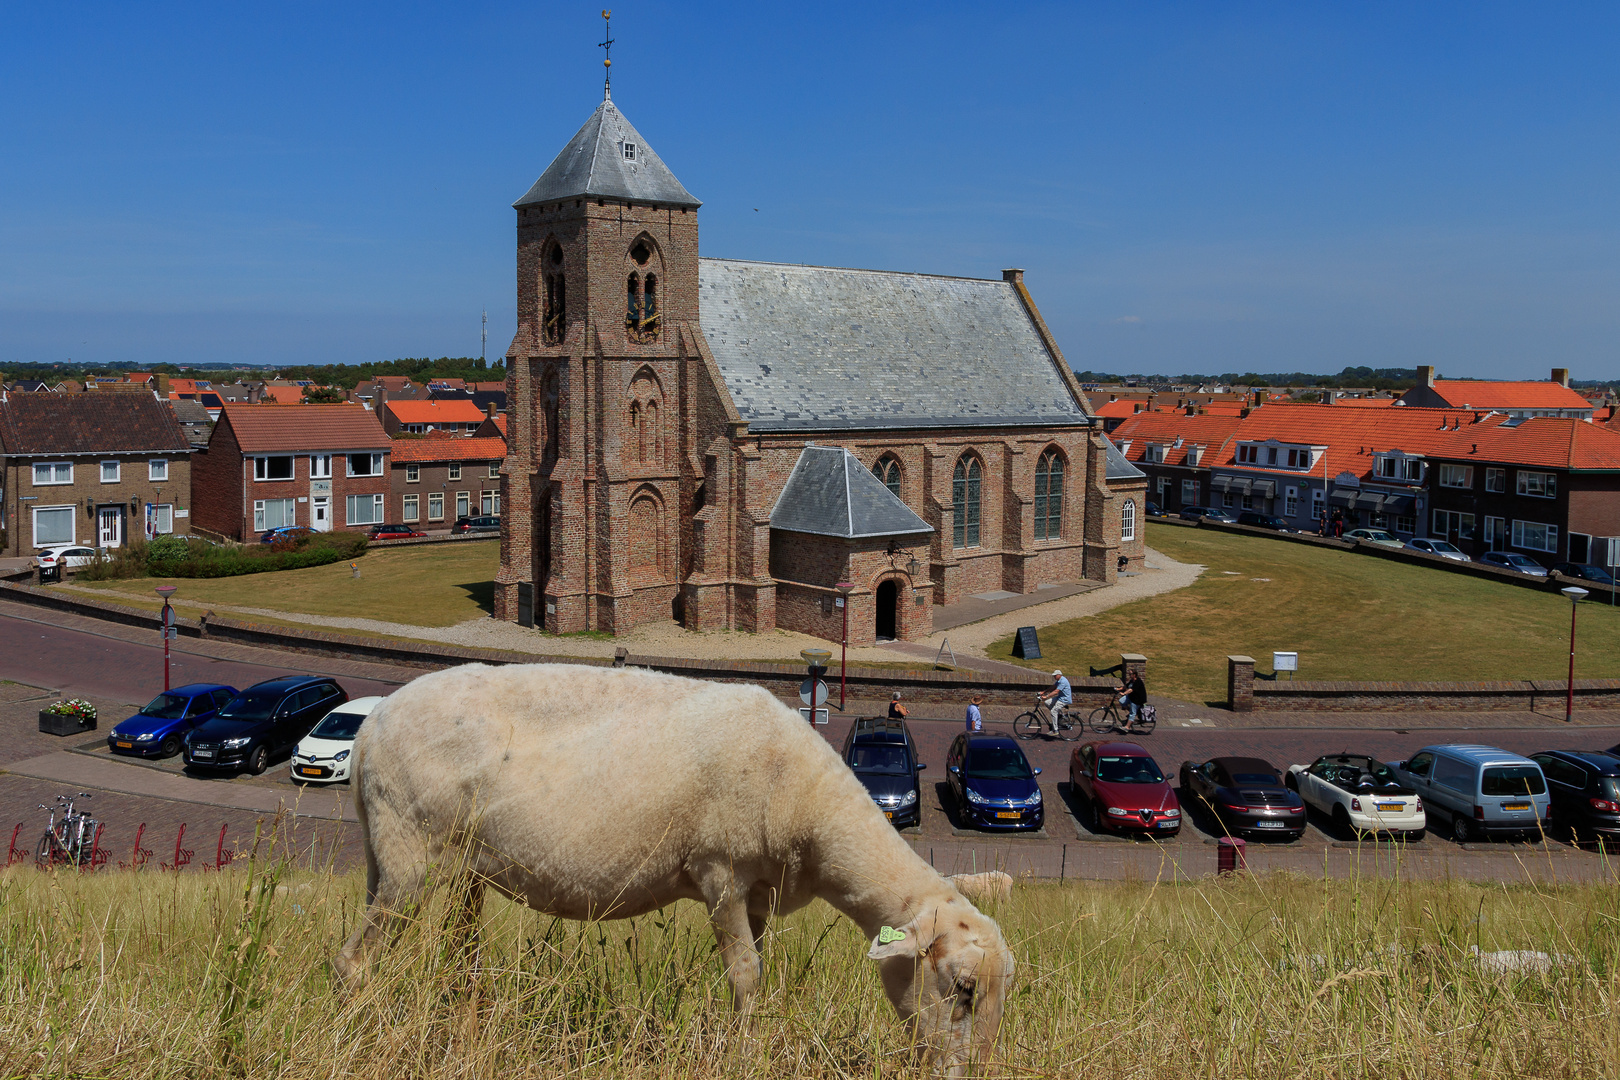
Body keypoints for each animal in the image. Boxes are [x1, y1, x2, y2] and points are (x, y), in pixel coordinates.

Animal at [333, 663, 1010, 1075]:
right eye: (962, 989)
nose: (973, 1075)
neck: (810, 804)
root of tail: (368, 731)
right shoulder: (719, 871)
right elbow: (745, 975)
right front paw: (744, 1055)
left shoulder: (758, 892)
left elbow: (756, 973)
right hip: (407, 857)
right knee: (353, 961)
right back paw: (354, 1036)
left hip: (450, 867)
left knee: (462, 964)